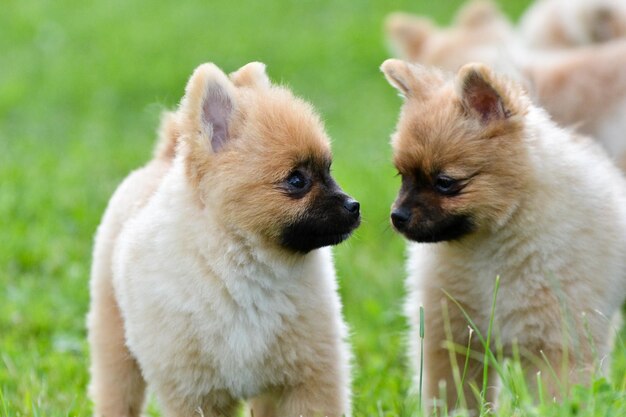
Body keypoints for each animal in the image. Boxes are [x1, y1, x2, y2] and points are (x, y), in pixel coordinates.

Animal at [86, 62, 358, 416]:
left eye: (329, 170)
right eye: (297, 180)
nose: (354, 206)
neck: (244, 265)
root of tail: (162, 159)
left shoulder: (307, 376)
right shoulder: (194, 392)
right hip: (115, 339)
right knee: (117, 393)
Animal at [378, 58, 624, 412]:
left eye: (444, 183)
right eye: (403, 176)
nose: (397, 217)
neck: (493, 245)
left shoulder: (558, 345)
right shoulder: (454, 340)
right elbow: (454, 399)